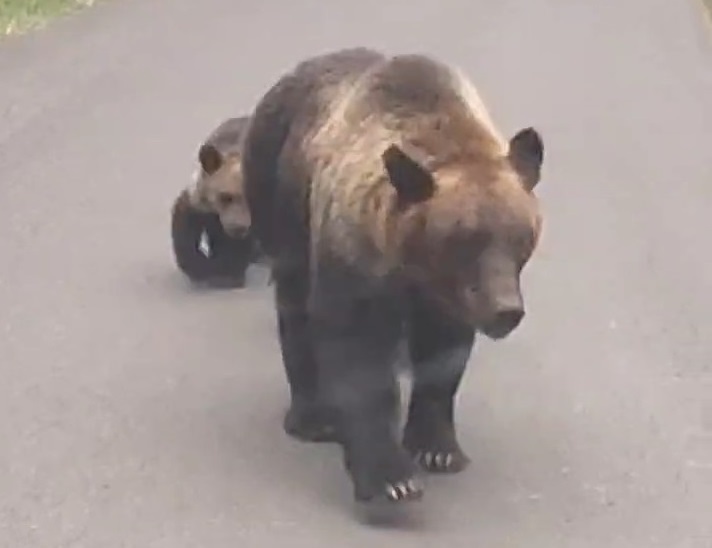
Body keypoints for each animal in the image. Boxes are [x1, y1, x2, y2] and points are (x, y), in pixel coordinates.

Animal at [170, 116, 264, 289]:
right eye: (225, 196)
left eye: (250, 199)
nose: (238, 228)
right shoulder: (198, 202)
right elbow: (185, 231)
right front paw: (199, 267)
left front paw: (227, 273)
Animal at [240, 48, 545, 505]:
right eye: (467, 238)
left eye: (521, 237)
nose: (505, 310)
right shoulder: (355, 255)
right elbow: (359, 355)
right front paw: (391, 478)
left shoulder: (448, 297)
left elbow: (443, 358)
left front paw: (437, 448)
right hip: (280, 196)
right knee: (294, 307)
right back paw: (313, 417)